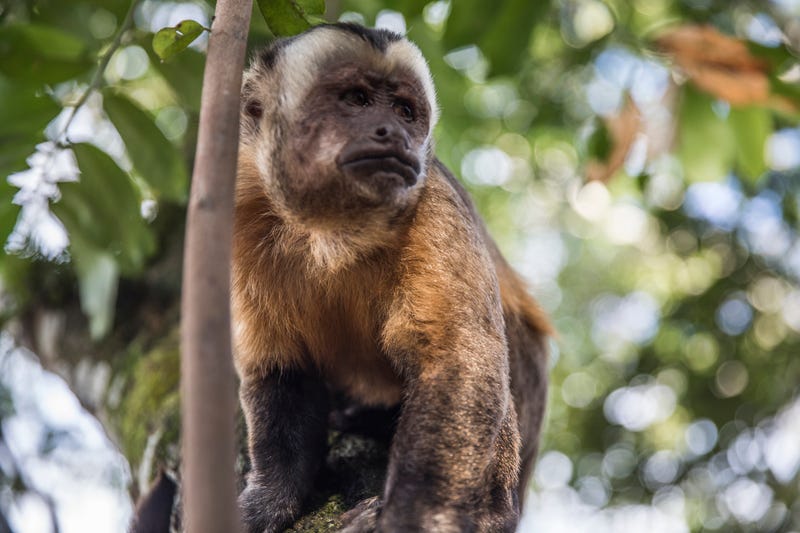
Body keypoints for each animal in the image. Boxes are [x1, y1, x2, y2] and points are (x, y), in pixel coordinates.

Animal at [233, 23, 551, 533]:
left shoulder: (433, 203)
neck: (331, 229)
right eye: (357, 99)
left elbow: (458, 364)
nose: (393, 132)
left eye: (404, 111)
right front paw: (270, 500)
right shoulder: (244, 212)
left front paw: (414, 516)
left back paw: (492, 509)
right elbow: (281, 370)